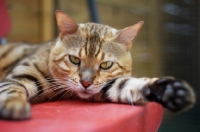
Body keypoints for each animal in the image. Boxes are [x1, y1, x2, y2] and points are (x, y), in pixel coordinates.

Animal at [0, 10, 195, 119]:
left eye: (106, 64)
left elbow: (128, 84)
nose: (85, 83)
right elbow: (11, 89)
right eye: (74, 60)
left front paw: (169, 90)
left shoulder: (106, 85)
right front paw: (14, 104)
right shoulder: (18, 76)